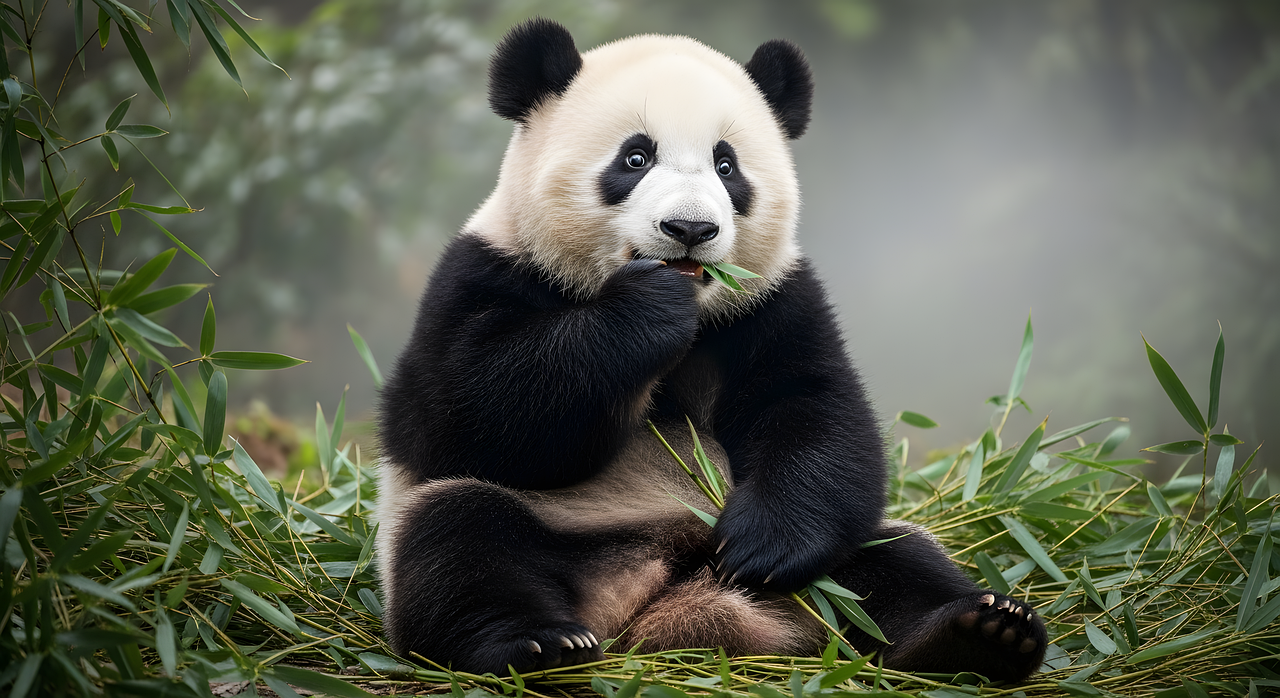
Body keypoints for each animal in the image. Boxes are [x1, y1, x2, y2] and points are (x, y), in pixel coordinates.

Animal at [377, 18, 1047, 683]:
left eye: (727, 166)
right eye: (636, 157)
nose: (691, 230)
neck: (699, 314)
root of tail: (666, 599)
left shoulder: (773, 301)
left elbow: (812, 408)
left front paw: (765, 545)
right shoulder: (485, 273)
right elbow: (471, 414)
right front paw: (646, 309)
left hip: (830, 576)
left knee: (896, 564)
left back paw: (981, 634)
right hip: (550, 532)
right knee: (460, 542)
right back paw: (537, 644)